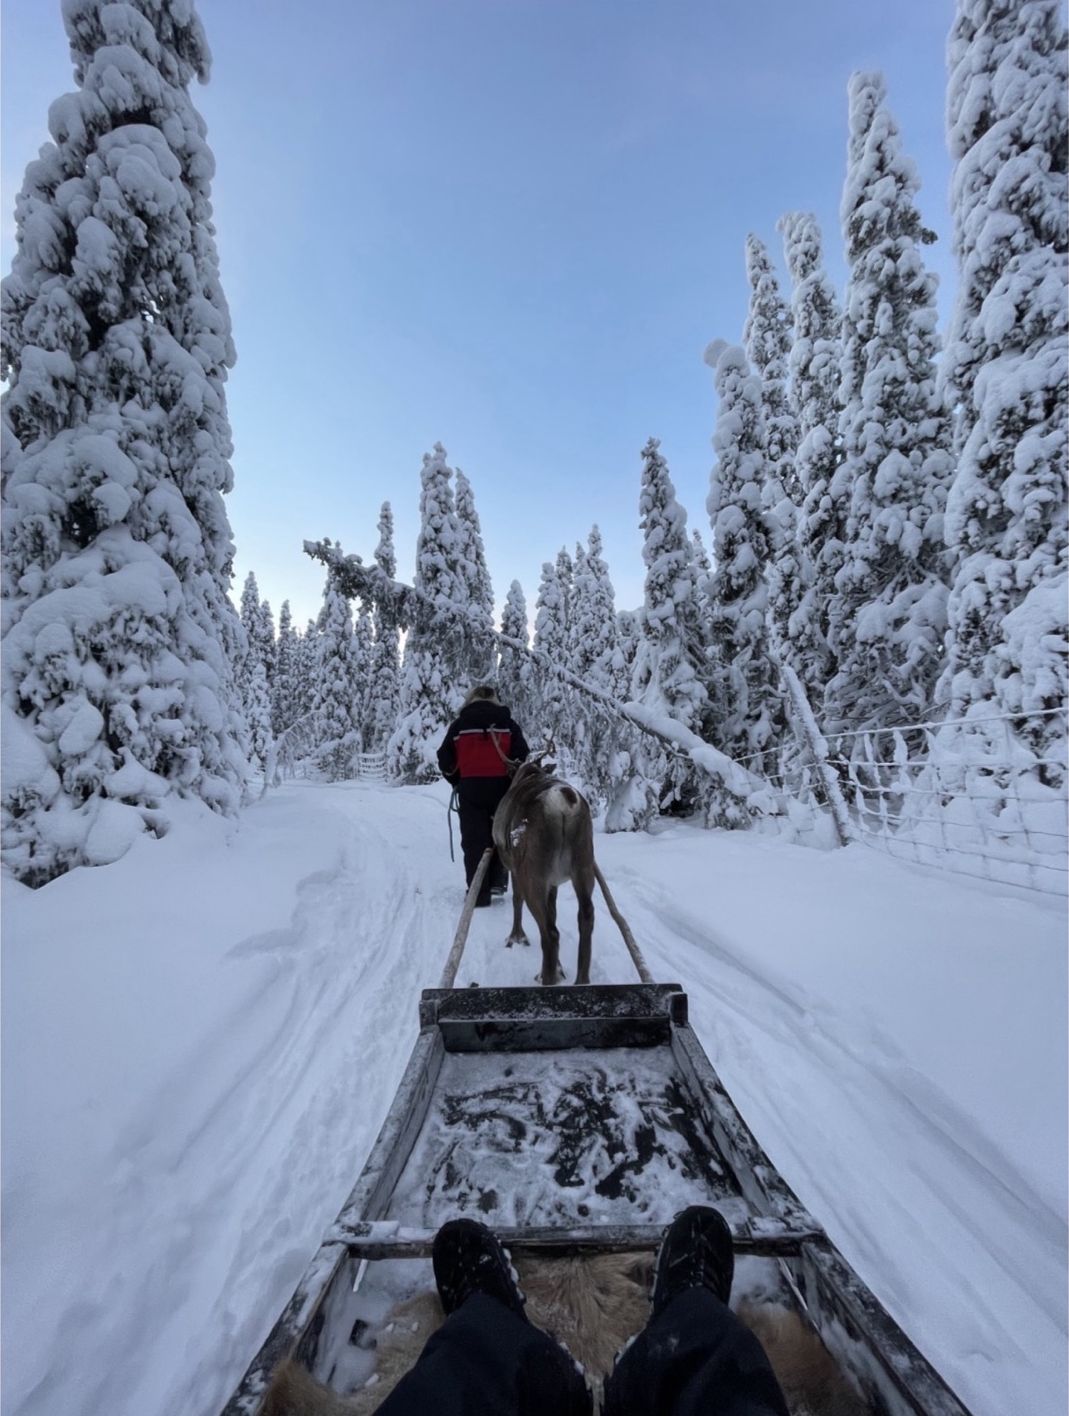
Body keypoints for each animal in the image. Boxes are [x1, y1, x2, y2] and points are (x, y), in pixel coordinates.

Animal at [492, 758, 596, 986]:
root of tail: (564, 803)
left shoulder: (514, 867)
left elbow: (517, 900)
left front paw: (516, 937)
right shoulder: (554, 881)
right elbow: (553, 911)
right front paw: (559, 968)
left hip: (532, 874)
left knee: (550, 932)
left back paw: (547, 978)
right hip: (584, 865)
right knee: (585, 916)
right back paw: (581, 981)